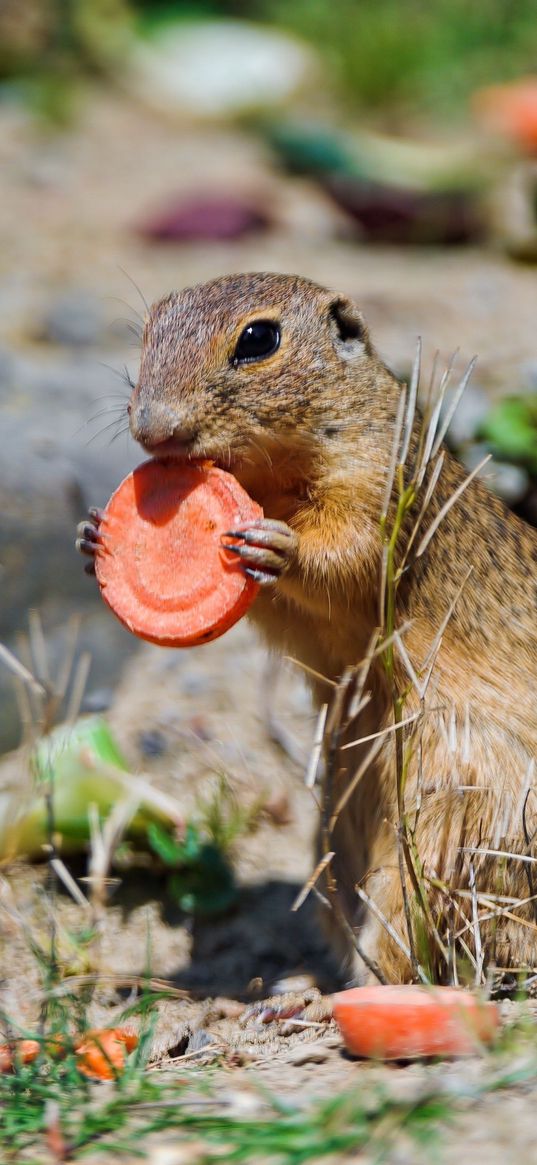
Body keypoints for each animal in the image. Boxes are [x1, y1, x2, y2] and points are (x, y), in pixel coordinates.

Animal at [78, 272, 535, 983]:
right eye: (148, 329)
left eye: (258, 339)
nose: (152, 428)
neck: (270, 478)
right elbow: (280, 612)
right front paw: (95, 533)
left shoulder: (376, 487)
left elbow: (349, 555)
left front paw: (277, 546)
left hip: (444, 829)